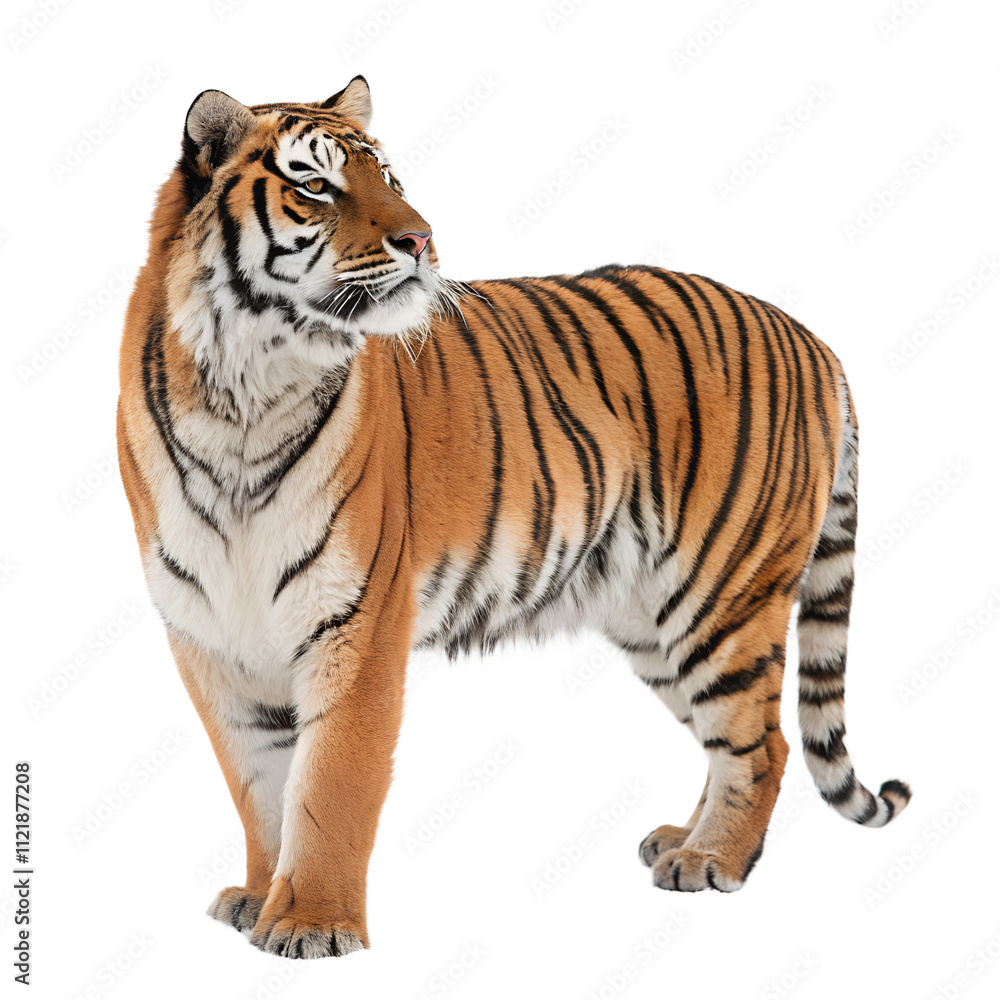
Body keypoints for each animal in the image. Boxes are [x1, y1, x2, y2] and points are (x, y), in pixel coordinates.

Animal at [117, 76, 911, 960]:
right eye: (316, 185)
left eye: (388, 178)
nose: (421, 239)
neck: (241, 391)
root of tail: (811, 337)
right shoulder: (212, 638)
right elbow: (258, 786)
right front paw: (261, 898)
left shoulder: (357, 626)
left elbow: (328, 788)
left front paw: (312, 923)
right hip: (655, 620)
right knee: (728, 737)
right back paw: (684, 840)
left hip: (722, 597)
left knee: (762, 742)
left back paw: (712, 862)